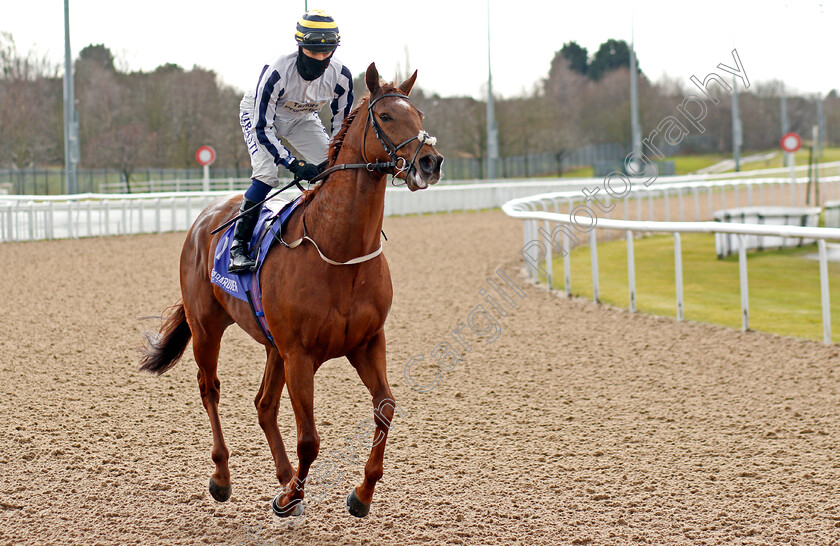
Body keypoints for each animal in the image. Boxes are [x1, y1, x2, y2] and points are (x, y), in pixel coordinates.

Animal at [143, 61, 446, 516]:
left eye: (420, 115)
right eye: (387, 116)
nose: (430, 162)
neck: (339, 251)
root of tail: (206, 216)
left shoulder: (367, 342)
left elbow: (386, 408)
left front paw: (361, 494)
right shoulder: (301, 355)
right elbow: (309, 439)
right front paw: (291, 498)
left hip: (273, 345)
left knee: (263, 405)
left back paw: (284, 476)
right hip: (207, 327)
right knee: (210, 389)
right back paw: (222, 477)